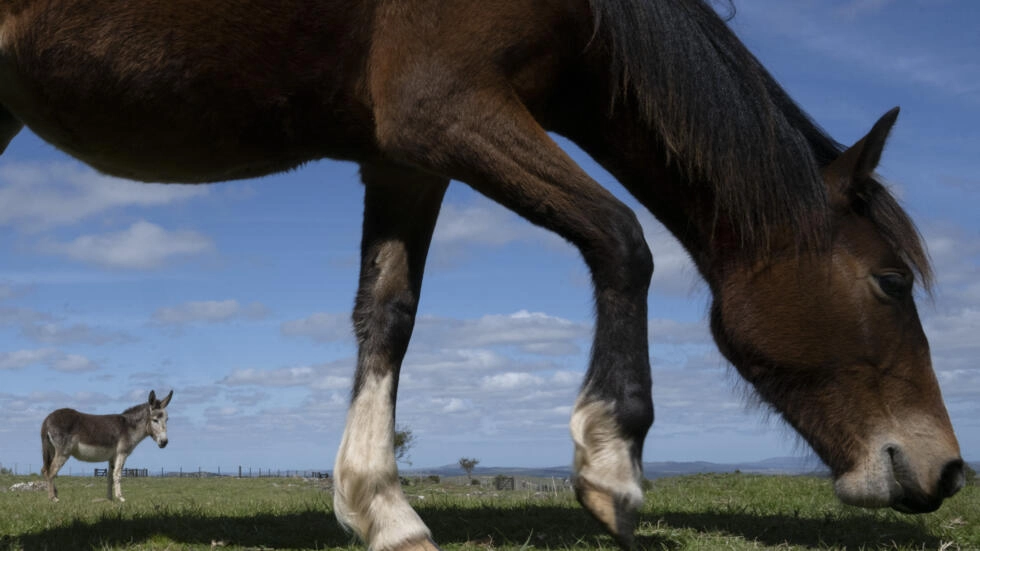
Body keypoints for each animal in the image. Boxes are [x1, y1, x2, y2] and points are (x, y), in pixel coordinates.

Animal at [40, 390, 173, 502]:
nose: (164, 442)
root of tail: (47, 419)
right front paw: (121, 498)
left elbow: (110, 476)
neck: (128, 427)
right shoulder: (122, 453)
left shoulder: (112, 457)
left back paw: (53, 495)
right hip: (63, 452)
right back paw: (53, 498)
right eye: (155, 420)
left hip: (52, 450)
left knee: (45, 470)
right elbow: (117, 475)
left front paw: (110, 499)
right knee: (51, 472)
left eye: (167, 419)